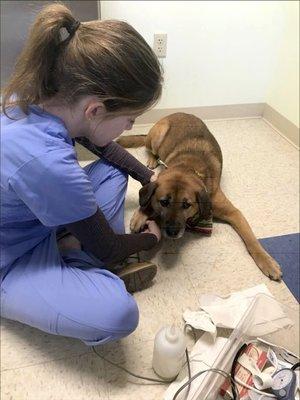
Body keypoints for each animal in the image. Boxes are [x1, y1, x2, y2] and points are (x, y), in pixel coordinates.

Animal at [116, 111, 282, 282]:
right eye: (164, 202)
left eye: (186, 205)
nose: (172, 232)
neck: (187, 168)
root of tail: (177, 113)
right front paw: (140, 214)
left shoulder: (234, 213)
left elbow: (251, 239)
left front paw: (266, 261)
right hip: (158, 135)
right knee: (151, 150)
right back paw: (152, 159)